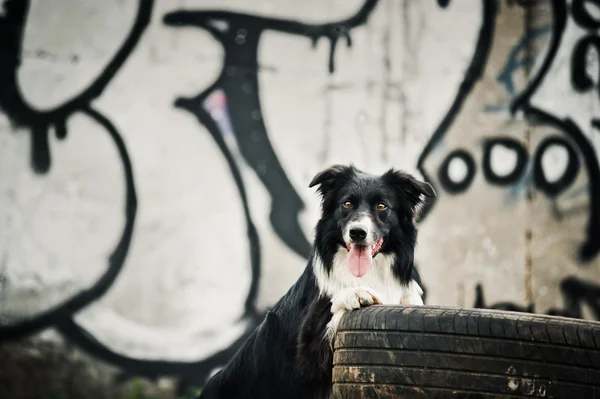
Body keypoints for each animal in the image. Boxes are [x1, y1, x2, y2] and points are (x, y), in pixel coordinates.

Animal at [197, 165, 436, 399]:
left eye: (381, 206)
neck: (368, 272)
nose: (357, 232)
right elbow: (333, 303)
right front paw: (354, 293)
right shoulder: (306, 354)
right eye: (347, 204)